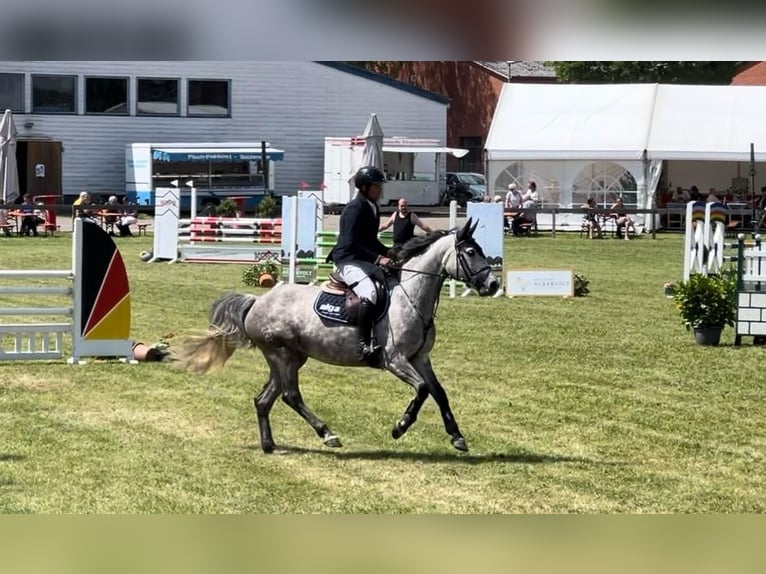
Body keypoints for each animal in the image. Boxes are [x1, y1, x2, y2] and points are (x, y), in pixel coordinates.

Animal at [172, 219, 504, 454]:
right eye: (471, 252)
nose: (493, 285)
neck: (410, 295)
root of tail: (257, 301)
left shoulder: (420, 358)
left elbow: (439, 392)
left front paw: (457, 437)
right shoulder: (395, 360)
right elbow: (422, 390)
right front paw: (400, 426)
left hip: (289, 357)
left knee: (264, 399)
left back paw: (270, 445)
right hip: (282, 354)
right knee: (291, 396)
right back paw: (327, 434)